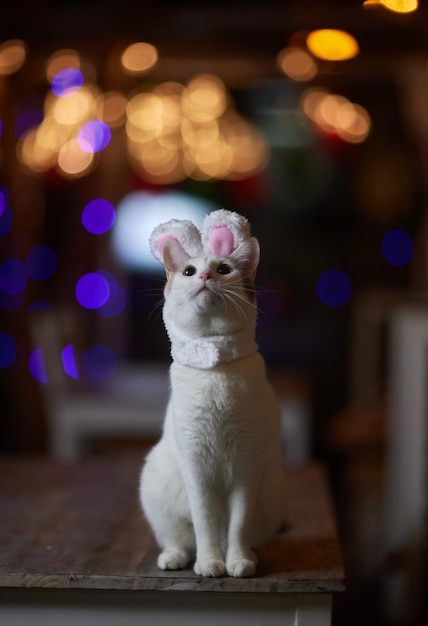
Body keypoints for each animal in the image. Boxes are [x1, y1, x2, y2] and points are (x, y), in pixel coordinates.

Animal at [140, 210, 288, 576]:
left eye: (223, 269)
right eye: (190, 272)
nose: (206, 276)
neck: (216, 371)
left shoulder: (246, 467)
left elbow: (237, 526)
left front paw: (236, 562)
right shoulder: (196, 467)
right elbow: (205, 524)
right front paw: (210, 564)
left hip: (272, 493)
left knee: (247, 534)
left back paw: (250, 557)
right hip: (156, 486)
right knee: (179, 539)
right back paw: (176, 558)